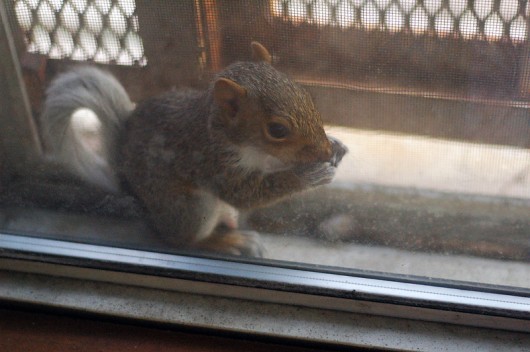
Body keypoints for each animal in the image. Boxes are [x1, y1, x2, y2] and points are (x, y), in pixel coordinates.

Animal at [38, 42, 346, 258]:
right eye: (277, 130)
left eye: (305, 94)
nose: (322, 151)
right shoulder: (211, 161)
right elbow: (244, 193)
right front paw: (310, 175)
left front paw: (336, 146)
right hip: (190, 207)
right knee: (181, 240)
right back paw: (226, 242)